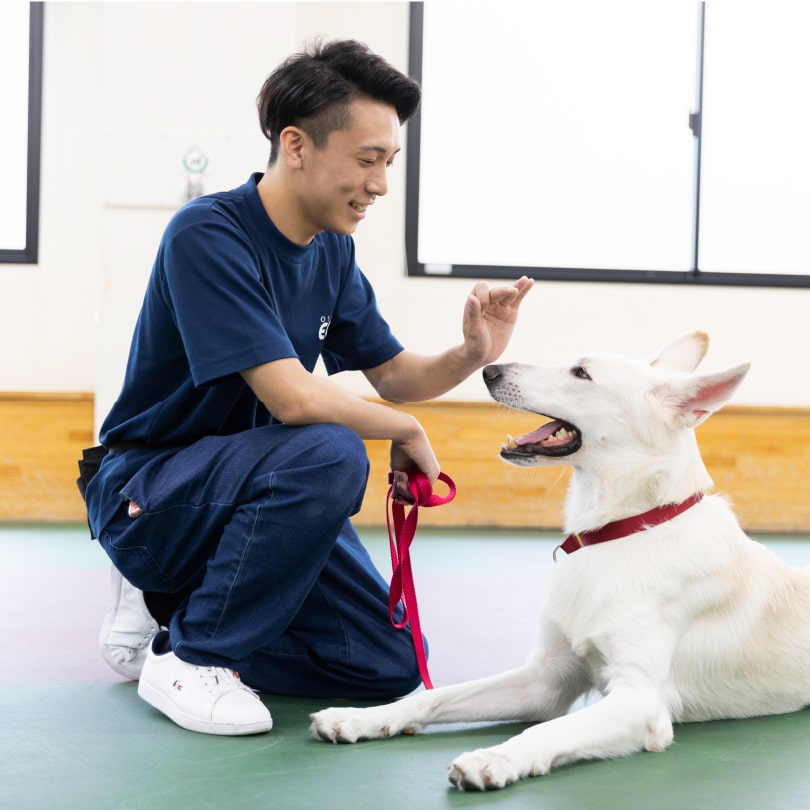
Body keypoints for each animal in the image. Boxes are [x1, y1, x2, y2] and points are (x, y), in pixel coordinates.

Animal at [308, 332, 808, 788]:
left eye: (581, 373)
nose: (489, 370)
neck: (622, 531)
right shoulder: (545, 680)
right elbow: (437, 695)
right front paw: (364, 716)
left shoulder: (640, 699)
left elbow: (549, 729)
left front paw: (494, 758)